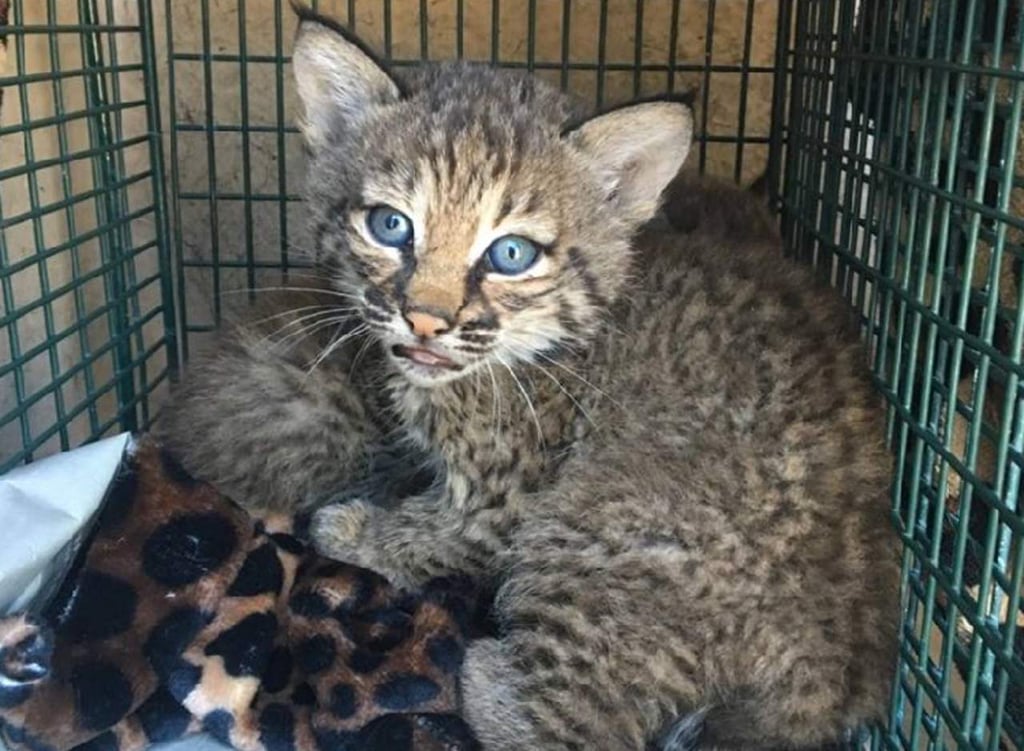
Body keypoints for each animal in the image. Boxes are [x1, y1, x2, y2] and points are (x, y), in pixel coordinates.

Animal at [155, 7, 901, 749]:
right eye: (390, 225)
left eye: (511, 254)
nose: (425, 321)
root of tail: (838, 683)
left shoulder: (502, 503)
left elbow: (427, 535)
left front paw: (352, 530)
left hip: (597, 519)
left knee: (574, 729)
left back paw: (480, 666)